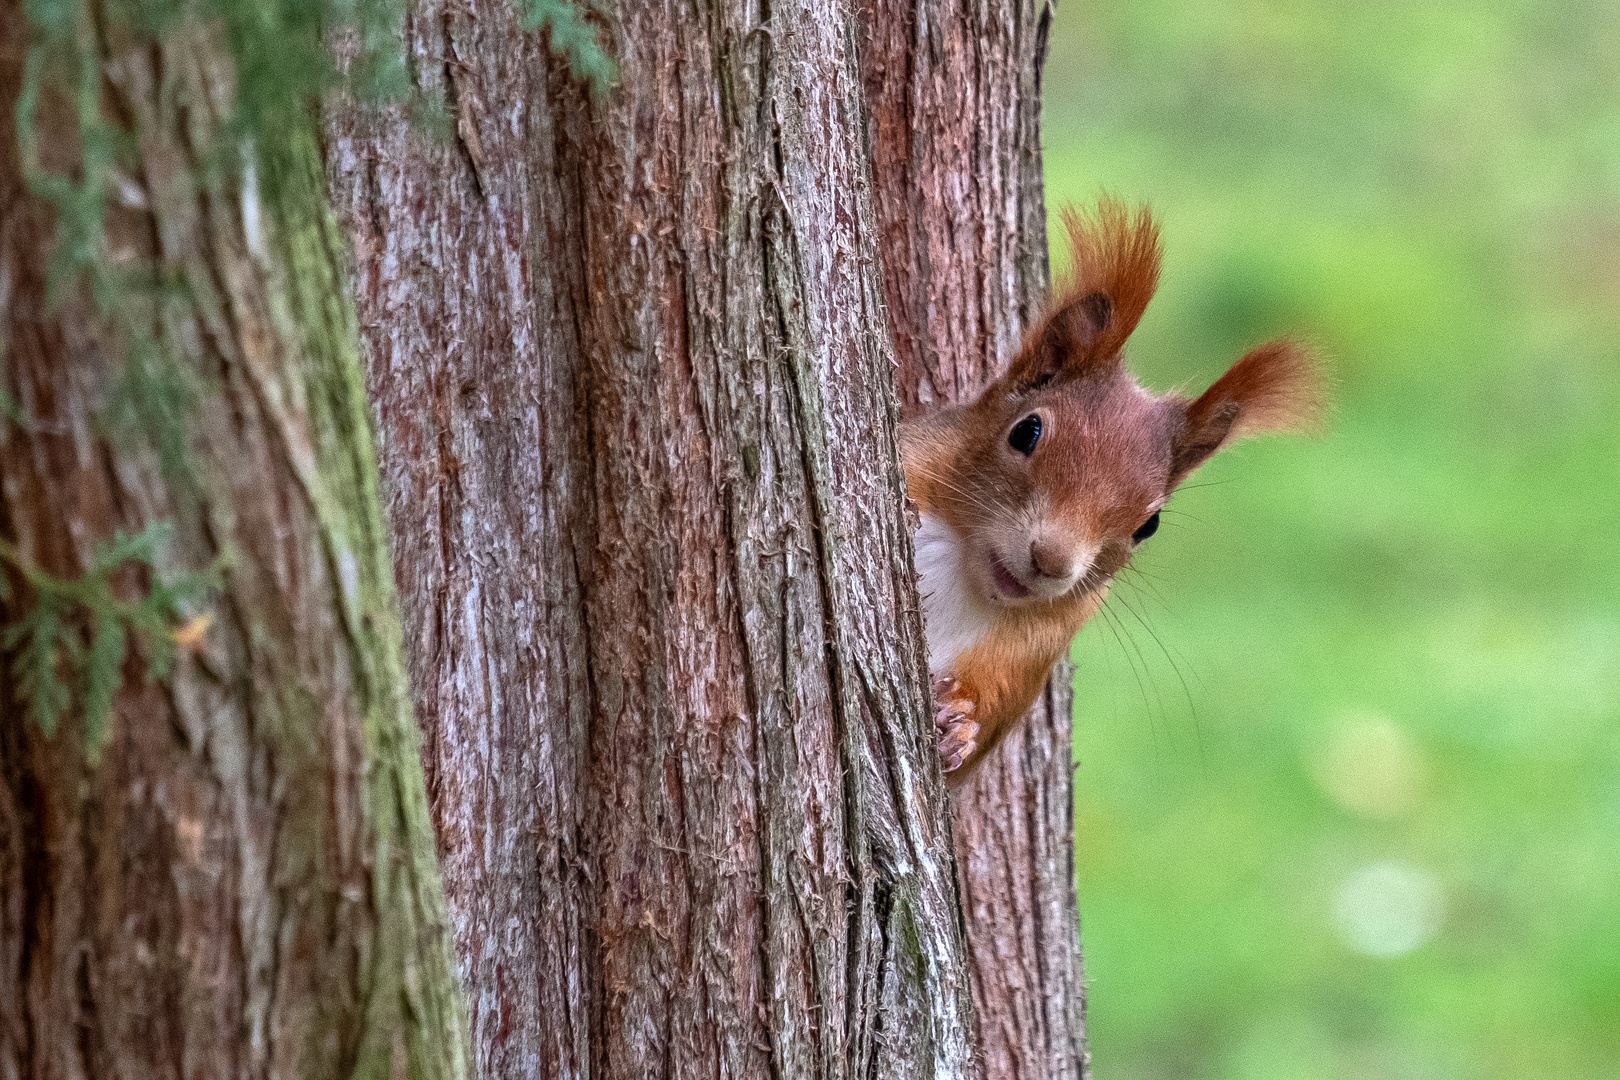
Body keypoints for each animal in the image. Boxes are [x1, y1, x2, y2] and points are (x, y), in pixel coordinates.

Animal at [907, 202, 1321, 790]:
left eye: (1148, 526)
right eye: (1026, 432)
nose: (1052, 561)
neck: (965, 573)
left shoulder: (1026, 659)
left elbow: (977, 740)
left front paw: (956, 729)